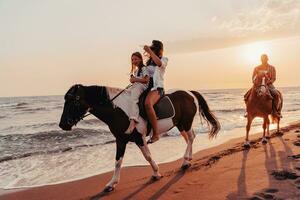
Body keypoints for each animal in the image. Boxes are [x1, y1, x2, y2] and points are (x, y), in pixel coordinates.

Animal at [58, 84, 220, 192]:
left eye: (74, 100)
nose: (62, 124)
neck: (119, 111)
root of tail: (189, 93)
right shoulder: (120, 140)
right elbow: (118, 161)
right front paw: (112, 184)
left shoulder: (139, 138)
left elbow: (147, 156)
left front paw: (156, 173)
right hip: (180, 125)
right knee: (189, 138)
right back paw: (188, 159)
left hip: (185, 123)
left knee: (191, 137)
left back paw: (185, 161)